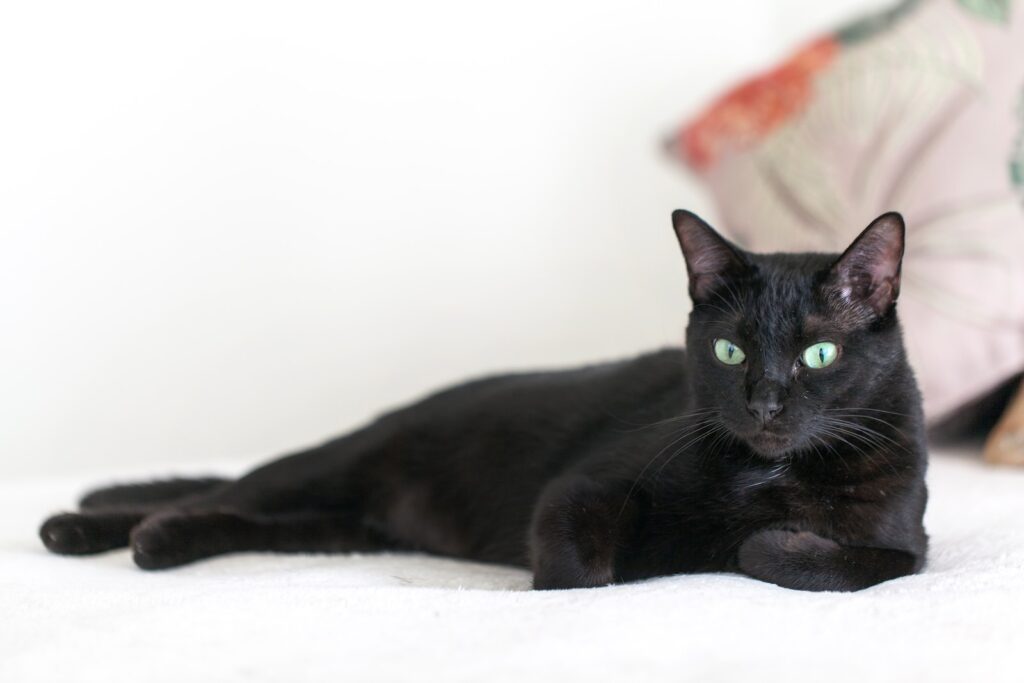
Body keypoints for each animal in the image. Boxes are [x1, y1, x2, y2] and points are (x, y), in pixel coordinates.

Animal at [39, 210, 929, 589]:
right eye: (730, 350)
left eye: (819, 353)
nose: (766, 403)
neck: (771, 476)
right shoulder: (581, 487)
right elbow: (581, 574)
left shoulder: (907, 542)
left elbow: (845, 564)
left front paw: (753, 543)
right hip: (324, 472)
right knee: (219, 491)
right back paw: (95, 529)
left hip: (337, 529)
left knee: (242, 517)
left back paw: (124, 538)